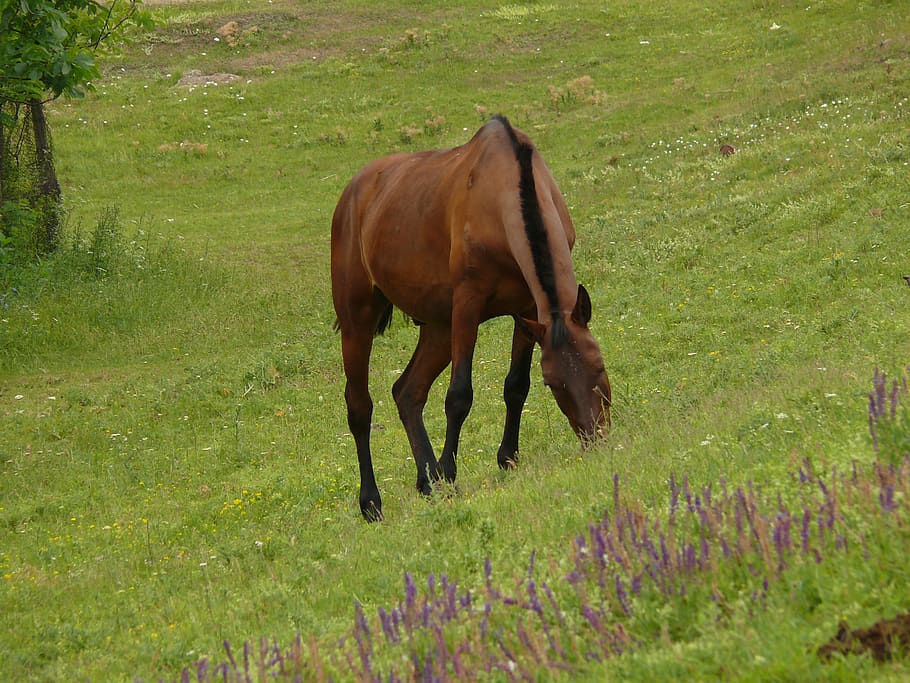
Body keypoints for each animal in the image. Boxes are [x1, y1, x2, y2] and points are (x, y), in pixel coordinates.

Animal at [331, 115, 611, 521]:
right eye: (555, 385)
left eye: (599, 367)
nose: (595, 438)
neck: (502, 190)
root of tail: (352, 193)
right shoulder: (467, 305)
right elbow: (459, 395)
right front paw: (450, 473)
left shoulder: (528, 312)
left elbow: (516, 385)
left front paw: (507, 458)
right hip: (358, 321)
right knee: (359, 406)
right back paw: (372, 501)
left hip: (437, 327)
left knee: (408, 392)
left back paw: (427, 480)